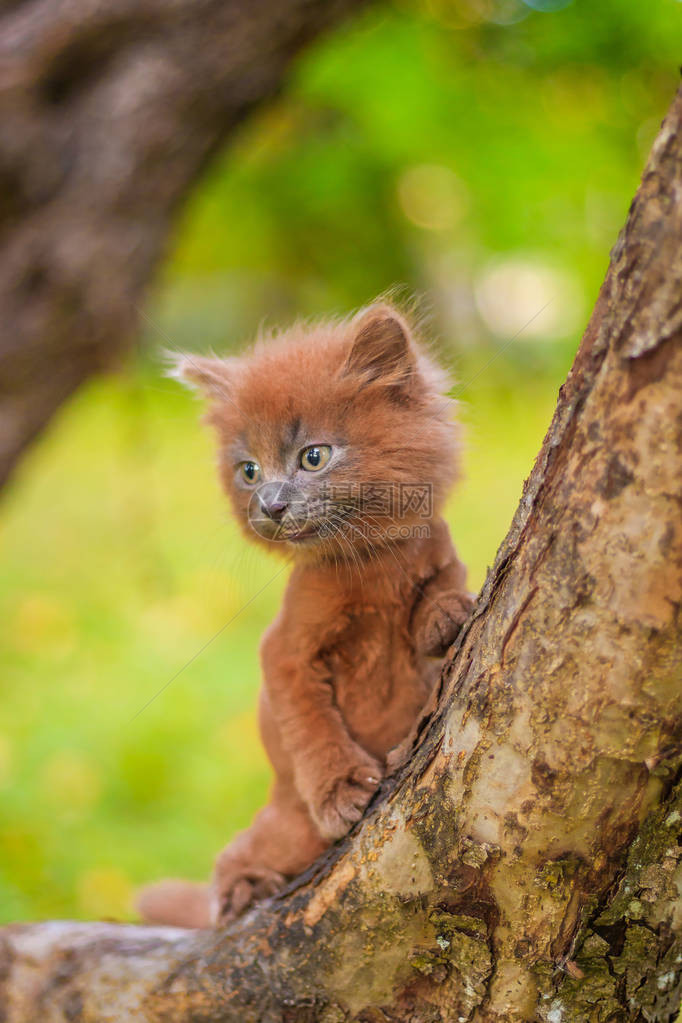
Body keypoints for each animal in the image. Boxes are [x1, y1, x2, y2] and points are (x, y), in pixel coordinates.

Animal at [135, 300, 472, 928]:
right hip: (281, 833)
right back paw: (242, 889)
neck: (371, 566)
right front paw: (338, 788)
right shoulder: (285, 650)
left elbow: (446, 581)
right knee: (228, 861)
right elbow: (310, 722)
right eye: (248, 471)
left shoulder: (437, 548)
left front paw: (445, 615)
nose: (270, 505)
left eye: (313, 457)